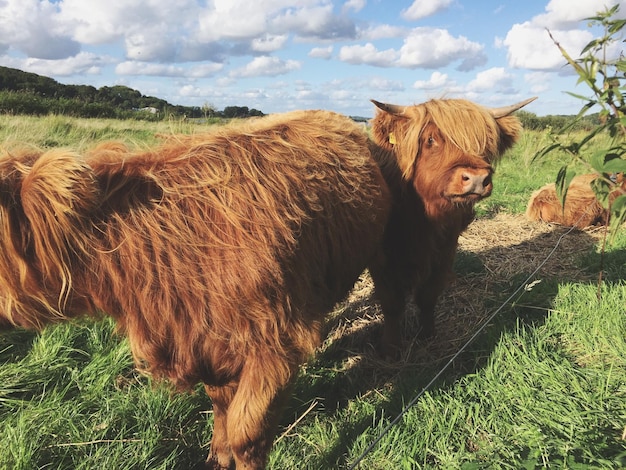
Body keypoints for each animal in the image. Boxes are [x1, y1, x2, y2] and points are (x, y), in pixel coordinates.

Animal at [368, 96, 532, 352]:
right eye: (430, 139)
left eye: (485, 143)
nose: (477, 179)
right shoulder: (382, 260)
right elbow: (391, 303)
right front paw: (390, 347)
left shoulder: (444, 251)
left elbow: (428, 297)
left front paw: (428, 334)